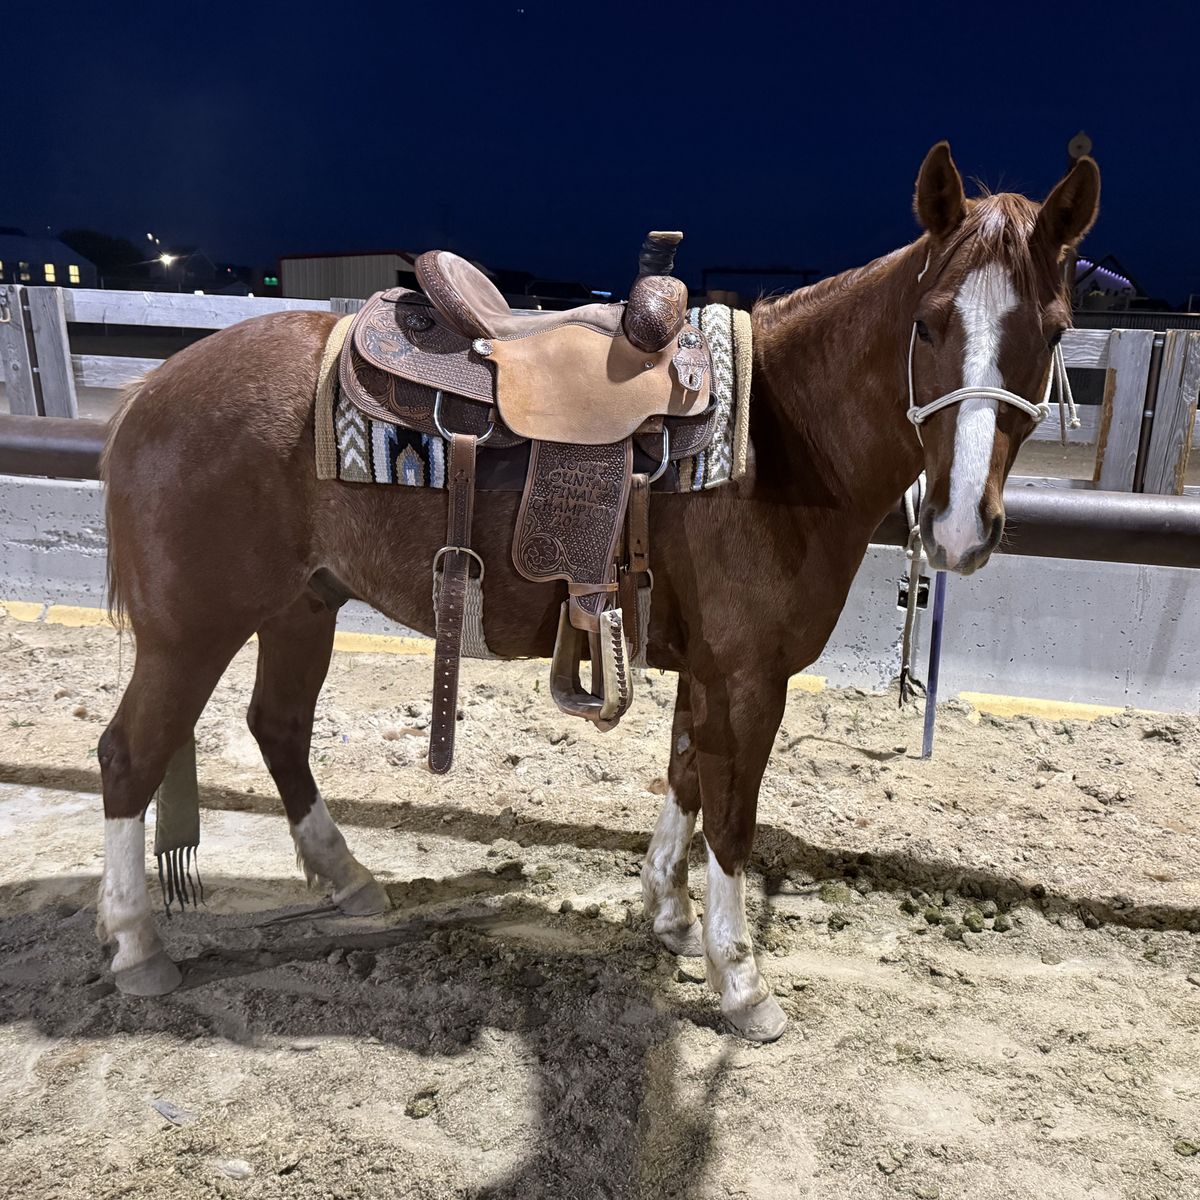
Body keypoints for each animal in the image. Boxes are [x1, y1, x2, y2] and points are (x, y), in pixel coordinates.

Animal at [95, 142, 1099, 1040]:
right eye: (927, 323)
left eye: (1053, 333)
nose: (961, 528)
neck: (775, 437)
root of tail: (150, 390)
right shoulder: (750, 676)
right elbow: (733, 818)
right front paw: (741, 981)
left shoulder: (709, 667)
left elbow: (687, 777)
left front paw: (668, 912)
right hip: (192, 630)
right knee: (129, 755)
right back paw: (137, 945)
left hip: (302, 606)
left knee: (278, 727)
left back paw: (347, 880)